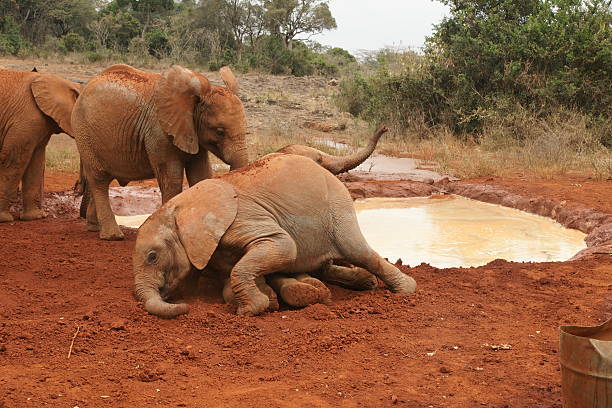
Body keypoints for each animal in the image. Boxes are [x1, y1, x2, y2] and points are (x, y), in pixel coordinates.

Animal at [0, 68, 81, 222]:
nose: (77, 188)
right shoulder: (26, 118)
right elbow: (13, 160)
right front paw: (4, 219)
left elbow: (35, 161)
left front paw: (35, 217)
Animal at [73, 65, 250, 241]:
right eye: (219, 131)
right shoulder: (159, 132)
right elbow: (172, 179)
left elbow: (201, 176)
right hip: (84, 134)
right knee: (99, 180)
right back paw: (113, 236)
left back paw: (94, 228)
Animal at [131, 154, 414, 318]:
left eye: (153, 256)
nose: (185, 306)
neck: (179, 207)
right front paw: (268, 299)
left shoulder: (243, 217)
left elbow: (283, 245)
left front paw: (251, 309)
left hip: (338, 206)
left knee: (357, 250)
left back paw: (405, 289)